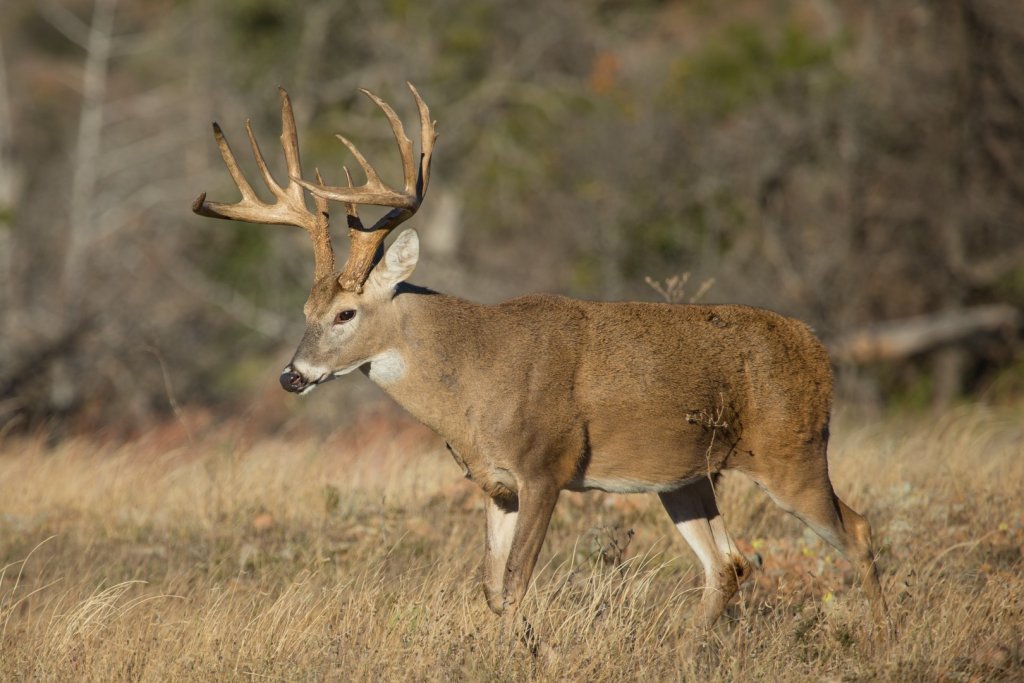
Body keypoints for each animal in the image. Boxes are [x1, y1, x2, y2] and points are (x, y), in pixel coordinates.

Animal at [190, 83, 888, 634]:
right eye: (305, 309)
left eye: (346, 314)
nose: (292, 376)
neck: (473, 377)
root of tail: (818, 349)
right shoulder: (495, 485)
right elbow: (492, 588)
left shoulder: (546, 465)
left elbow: (519, 583)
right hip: (687, 478)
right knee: (729, 564)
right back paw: (690, 650)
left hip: (791, 451)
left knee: (857, 531)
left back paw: (883, 643)